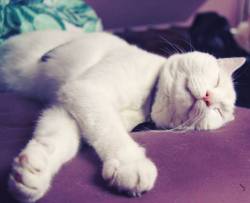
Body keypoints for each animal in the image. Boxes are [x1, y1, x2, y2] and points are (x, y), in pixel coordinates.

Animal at [0, 29, 245, 202]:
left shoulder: (66, 107)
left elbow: (56, 139)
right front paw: (131, 164)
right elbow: (111, 132)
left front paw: (33, 173)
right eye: (216, 81)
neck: (147, 102)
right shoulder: (88, 91)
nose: (209, 98)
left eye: (218, 111)